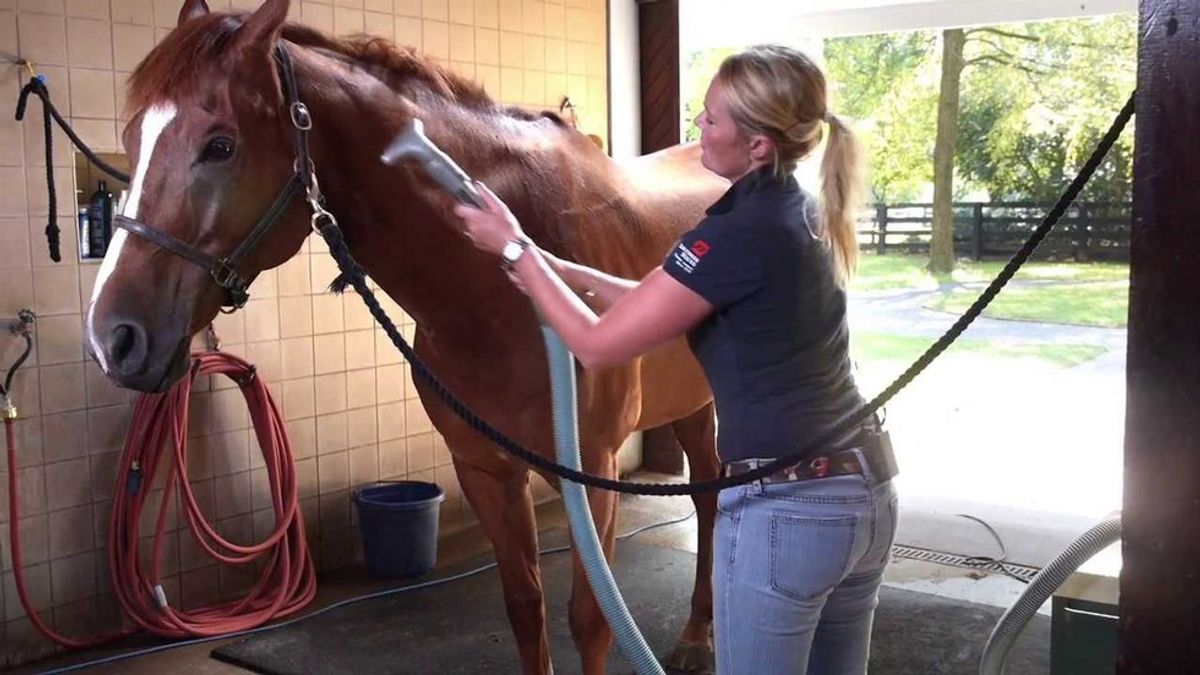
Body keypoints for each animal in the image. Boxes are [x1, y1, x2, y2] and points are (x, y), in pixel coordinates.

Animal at [84, 2, 724, 667]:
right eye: (131, 140)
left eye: (220, 146)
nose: (114, 339)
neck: (500, 293)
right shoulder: (484, 470)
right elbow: (526, 607)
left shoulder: (593, 473)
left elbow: (592, 619)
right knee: (707, 495)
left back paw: (696, 639)